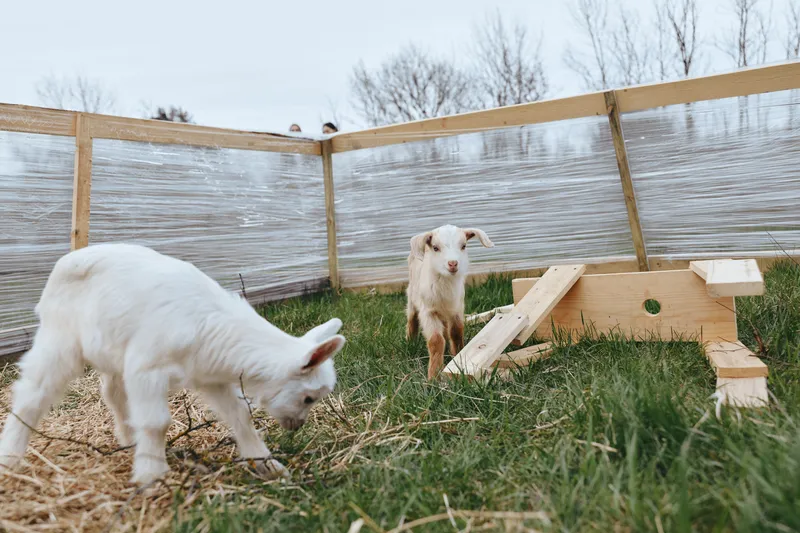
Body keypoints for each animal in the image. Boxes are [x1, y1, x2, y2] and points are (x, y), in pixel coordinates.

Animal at [0, 243, 345, 485]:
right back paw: (10, 457)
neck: (209, 322)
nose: (296, 426)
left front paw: (267, 465)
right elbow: (156, 422)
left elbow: (241, 415)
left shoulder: (210, 377)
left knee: (114, 393)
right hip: (59, 339)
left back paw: (129, 441)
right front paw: (151, 475)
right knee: (33, 394)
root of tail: (67, 260)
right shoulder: (147, 368)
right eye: (309, 398)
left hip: (113, 350)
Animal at [405, 225, 494, 379]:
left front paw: (457, 357)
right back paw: (410, 340)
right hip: (412, 296)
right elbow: (436, 340)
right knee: (412, 318)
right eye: (435, 248)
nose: (453, 263)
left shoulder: (457, 309)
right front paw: (433, 375)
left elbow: (456, 332)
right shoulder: (428, 312)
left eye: (463, 246)